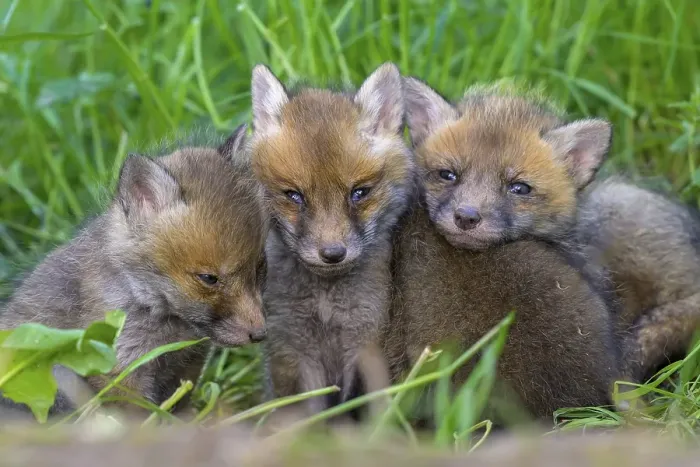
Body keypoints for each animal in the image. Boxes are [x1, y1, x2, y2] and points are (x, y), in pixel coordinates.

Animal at [249, 62, 413, 417]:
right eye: (294, 195)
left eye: (359, 193)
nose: (333, 253)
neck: (326, 307)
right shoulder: (292, 350)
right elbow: (303, 413)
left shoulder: (368, 345)